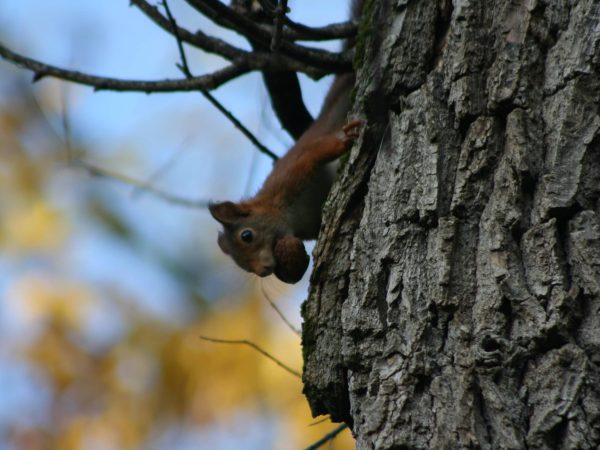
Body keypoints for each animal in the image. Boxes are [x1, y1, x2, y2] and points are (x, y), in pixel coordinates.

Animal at [209, 6, 364, 284]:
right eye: (242, 266)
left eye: (246, 235)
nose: (263, 271)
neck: (289, 216)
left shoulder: (295, 172)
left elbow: (320, 150)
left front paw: (345, 142)